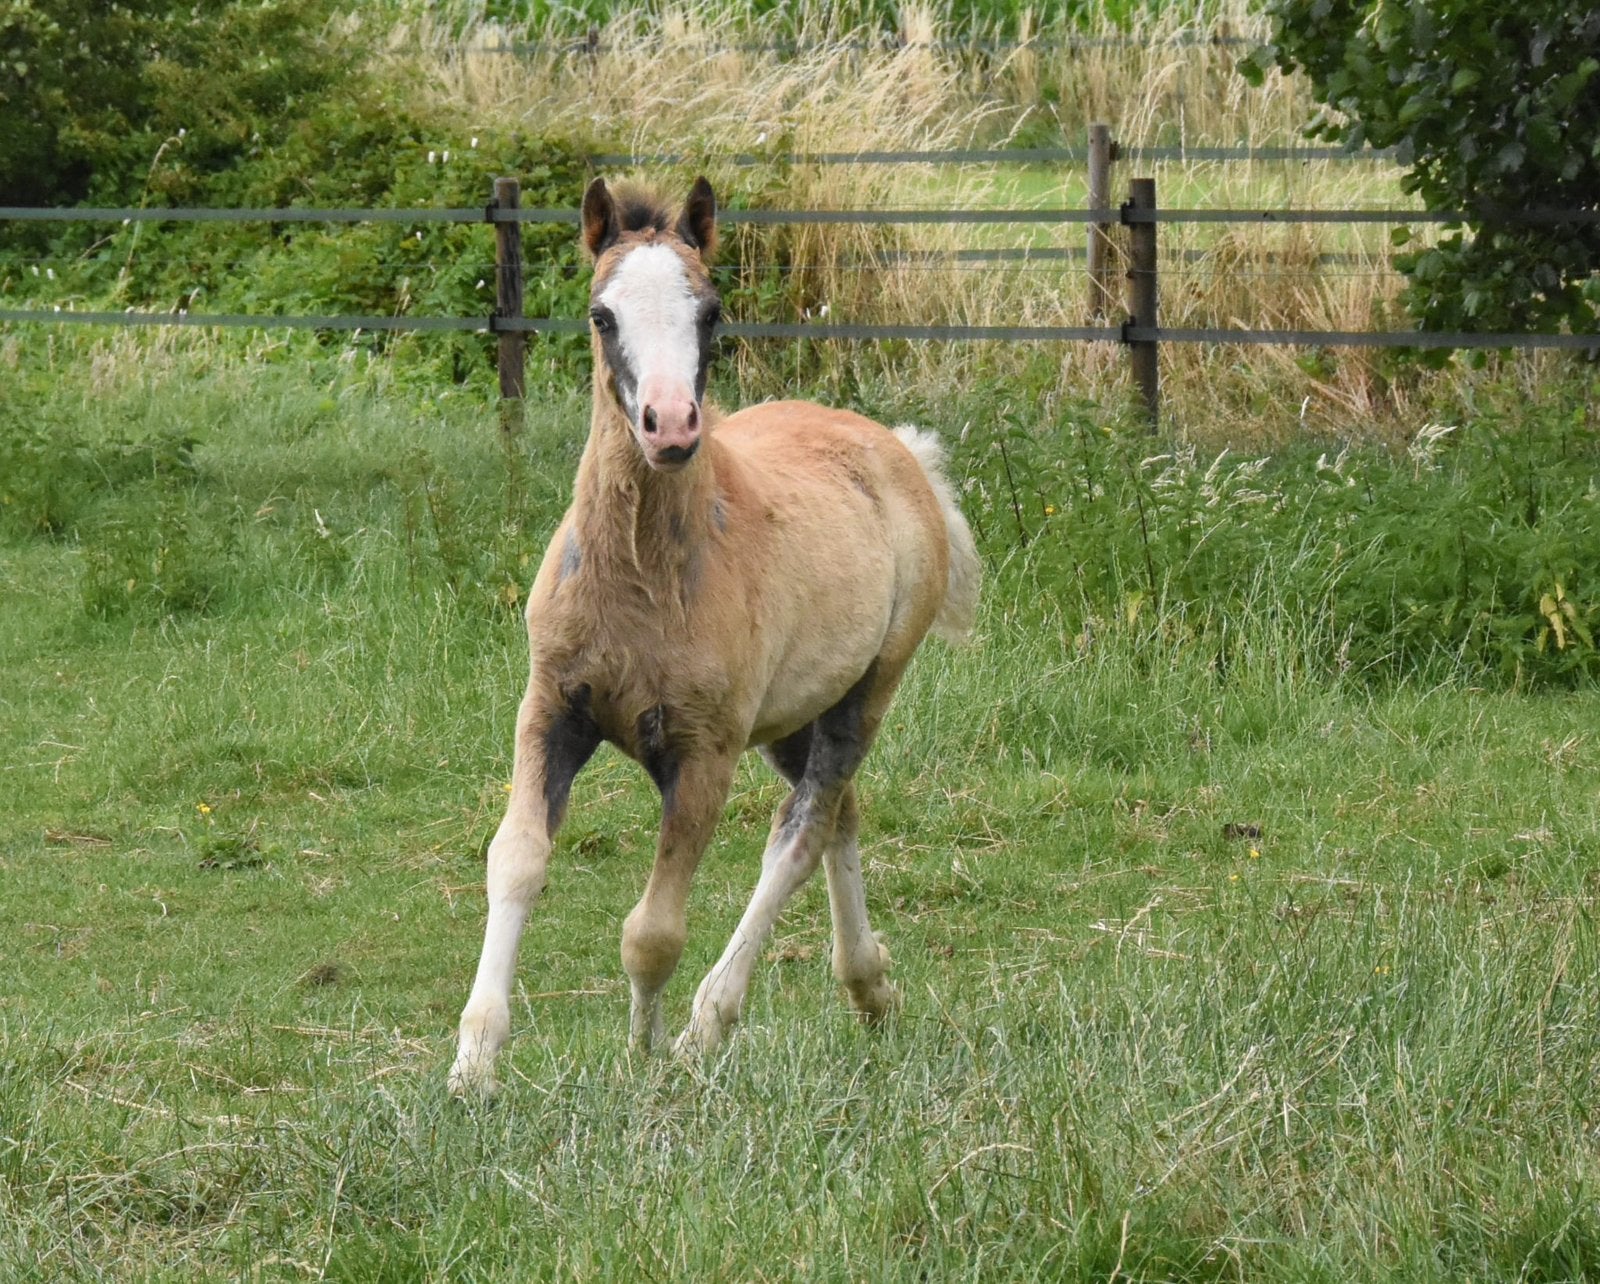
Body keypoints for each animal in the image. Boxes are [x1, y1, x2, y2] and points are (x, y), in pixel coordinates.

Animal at [449, 175, 980, 1095]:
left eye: (711, 310)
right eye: (601, 314)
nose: (669, 426)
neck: (641, 581)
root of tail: (898, 451)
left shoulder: (704, 753)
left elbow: (652, 930)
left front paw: (648, 1055)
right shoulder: (551, 709)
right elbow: (516, 858)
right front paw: (474, 1060)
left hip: (863, 696)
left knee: (800, 834)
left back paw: (712, 1021)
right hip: (796, 714)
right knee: (838, 815)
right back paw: (870, 986)